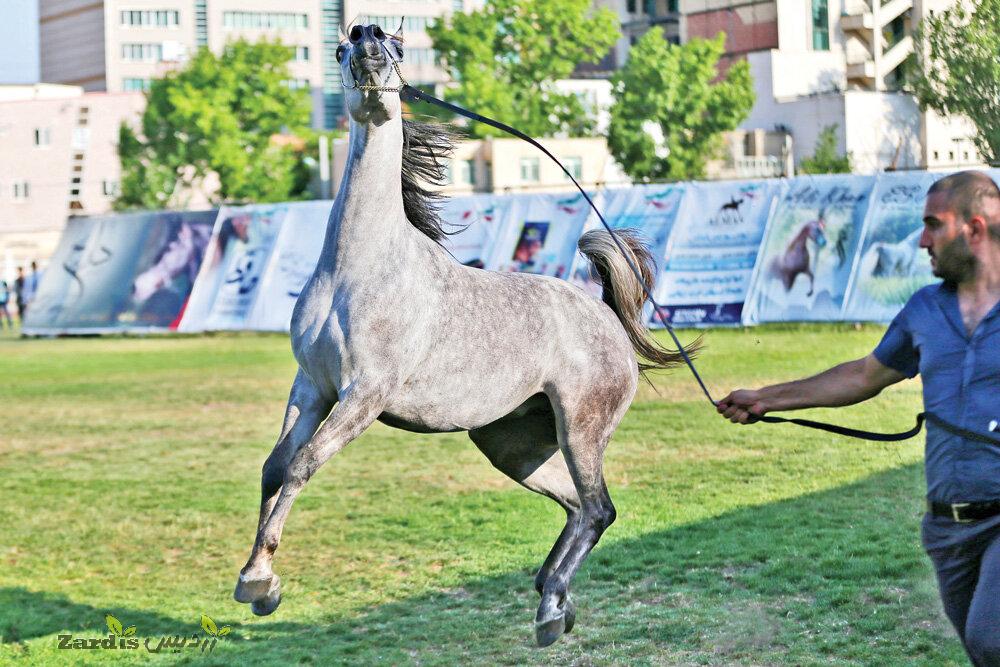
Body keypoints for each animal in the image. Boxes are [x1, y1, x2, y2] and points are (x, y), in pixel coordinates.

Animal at [234, 26, 696, 648]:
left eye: (396, 45)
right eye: (345, 44)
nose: (368, 42)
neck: (359, 267)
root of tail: (606, 318)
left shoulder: (363, 395)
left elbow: (303, 464)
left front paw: (261, 583)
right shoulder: (312, 387)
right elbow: (276, 467)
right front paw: (257, 581)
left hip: (580, 429)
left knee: (599, 509)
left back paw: (550, 607)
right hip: (511, 446)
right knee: (577, 507)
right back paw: (554, 597)